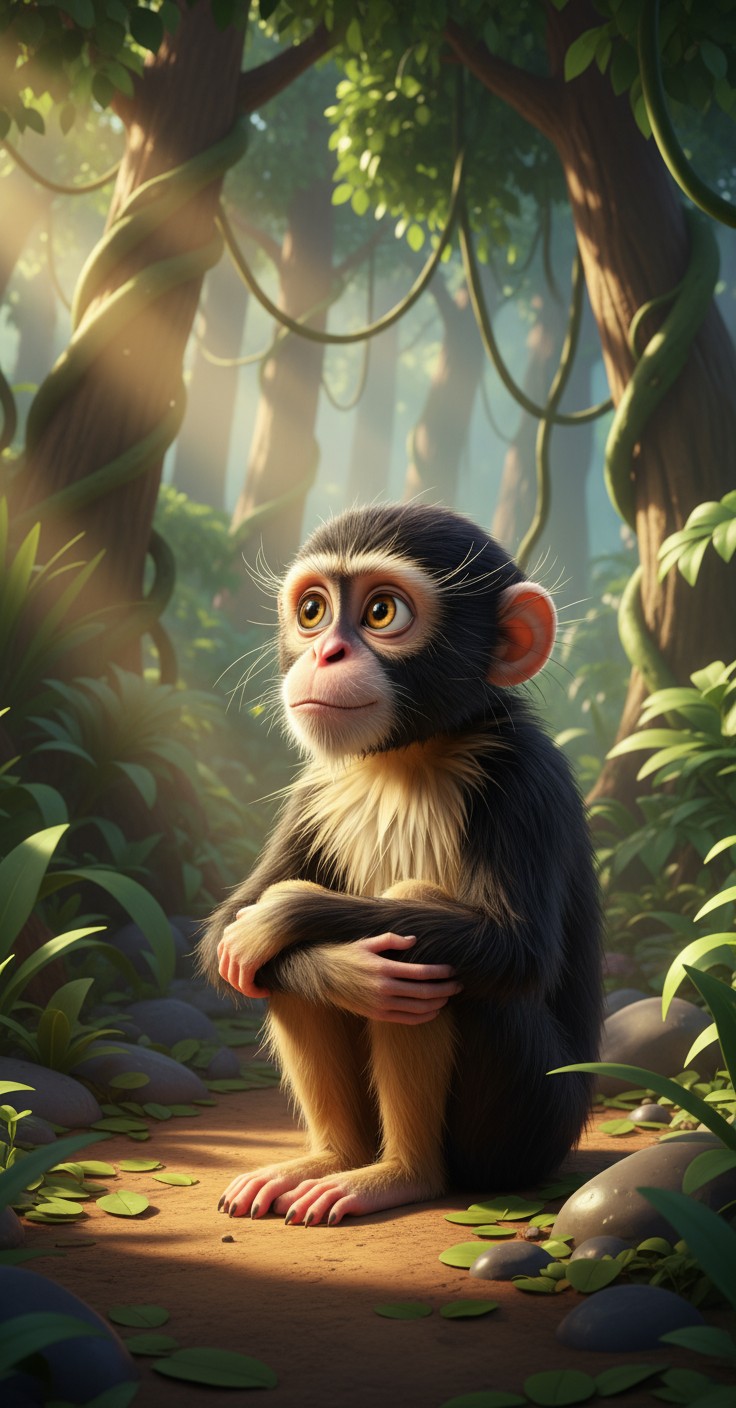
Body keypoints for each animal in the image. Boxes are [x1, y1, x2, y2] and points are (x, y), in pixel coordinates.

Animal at [198, 502, 602, 1227]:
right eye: (312, 611)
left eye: (382, 612)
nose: (326, 652)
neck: (408, 759)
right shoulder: (311, 789)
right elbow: (226, 934)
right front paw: (339, 966)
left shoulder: (529, 780)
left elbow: (516, 949)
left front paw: (285, 914)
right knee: (285, 976)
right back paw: (331, 1158)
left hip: (528, 1127)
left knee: (426, 951)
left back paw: (402, 1176)